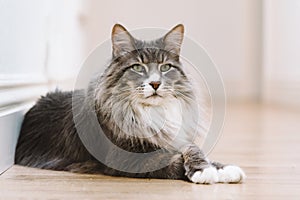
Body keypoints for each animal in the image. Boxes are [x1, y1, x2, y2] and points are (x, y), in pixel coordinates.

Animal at [14, 24, 245, 184]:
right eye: (137, 67)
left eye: (165, 67)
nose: (155, 83)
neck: (150, 113)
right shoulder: (129, 159)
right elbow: (173, 161)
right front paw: (205, 172)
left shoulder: (175, 140)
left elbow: (193, 149)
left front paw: (223, 169)